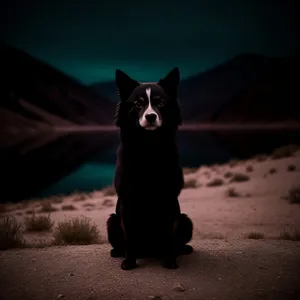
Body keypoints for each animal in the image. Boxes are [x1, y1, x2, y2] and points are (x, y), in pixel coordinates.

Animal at [106, 67, 193, 270]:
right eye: (138, 104)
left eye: (160, 103)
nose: (151, 116)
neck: (149, 146)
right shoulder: (127, 202)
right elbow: (130, 237)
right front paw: (129, 263)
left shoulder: (169, 200)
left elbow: (168, 236)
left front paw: (169, 261)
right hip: (112, 221)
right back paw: (118, 252)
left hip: (185, 220)